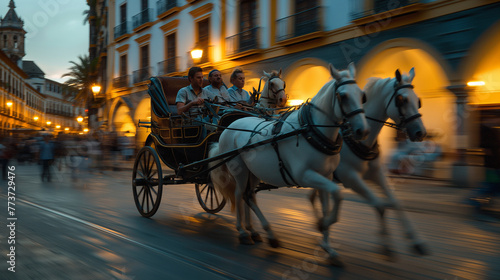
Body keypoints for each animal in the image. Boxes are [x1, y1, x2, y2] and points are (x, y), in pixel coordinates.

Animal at [209, 62, 370, 266]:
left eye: (362, 95)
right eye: (343, 95)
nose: (362, 131)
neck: (310, 130)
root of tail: (227, 129)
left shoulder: (325, 176)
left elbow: (328, 204)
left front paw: (328, 247)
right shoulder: (306, 175)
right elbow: (338, 194)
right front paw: (323, 225)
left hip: (254, 173)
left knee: (249, 196)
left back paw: (261, 232)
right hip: (240, 170)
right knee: (239, 195)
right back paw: (244, 232)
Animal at [310, 69, 428, 260]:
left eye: (418, 100)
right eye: (401, 99)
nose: (421, 132)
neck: (362, 139)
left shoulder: (377, 174)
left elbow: (396, 202)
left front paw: (416, 241)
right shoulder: (351, 178)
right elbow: (380, 205)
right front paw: (386, 243)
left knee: (312, 196)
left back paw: (320, 224)